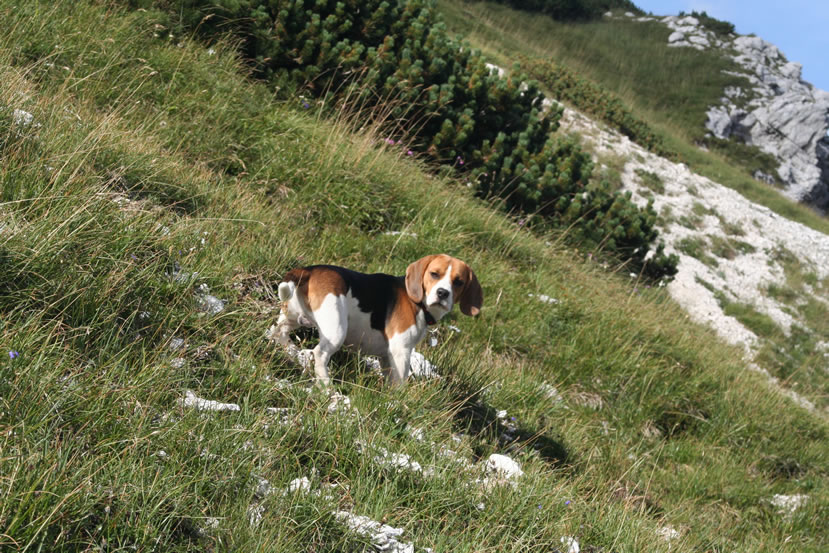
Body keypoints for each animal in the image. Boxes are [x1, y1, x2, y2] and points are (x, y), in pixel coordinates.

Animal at [274, 254, 483, 386]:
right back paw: (327, 387)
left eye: (458, 282)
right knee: (320, 354)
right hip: (336, 329)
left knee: (277, 332)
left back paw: (290, 352)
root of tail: (309, 270)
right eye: (434, 274)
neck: (417, 303)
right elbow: (400, 383)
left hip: (292, 316)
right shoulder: (401, 350)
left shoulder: (385, 357)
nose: (442, 293)